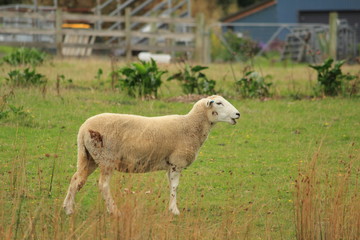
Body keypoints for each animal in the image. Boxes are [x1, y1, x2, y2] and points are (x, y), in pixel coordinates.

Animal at [63, 95, 240, 216]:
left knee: (76, 179)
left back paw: (68, 209)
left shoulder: (170, 164)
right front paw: (175, 211)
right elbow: (175, 186)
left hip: (89, 157)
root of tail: (83, 128)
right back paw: (114, 211)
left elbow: (171, 186)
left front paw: (171, 208)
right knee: (103, 185)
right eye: (219, 103)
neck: (190, 126)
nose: (238, 114)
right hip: (106, 158)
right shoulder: (177, 161)